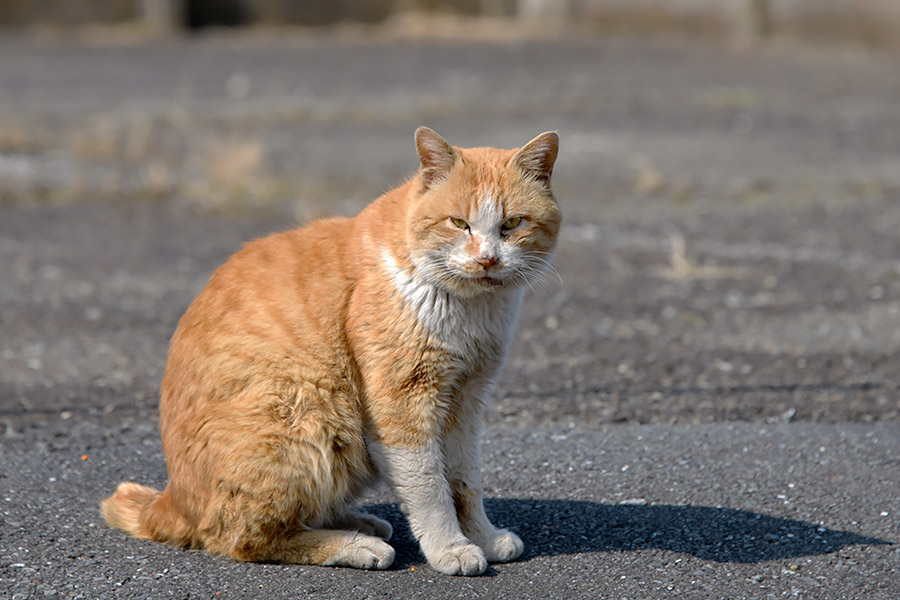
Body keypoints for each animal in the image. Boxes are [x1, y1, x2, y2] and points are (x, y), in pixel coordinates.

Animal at [102, 127, 560, 576]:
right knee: (243, 537)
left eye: (512, 224)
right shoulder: (404, 401)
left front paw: (483, 537)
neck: (472, 310)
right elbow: (429, 485)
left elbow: (465, 483)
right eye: (459, 223)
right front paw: (451, 547)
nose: (487, 260)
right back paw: (356, 545)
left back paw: (359, 522)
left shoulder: (466, 399)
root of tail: (172, 500)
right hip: (307, 408)